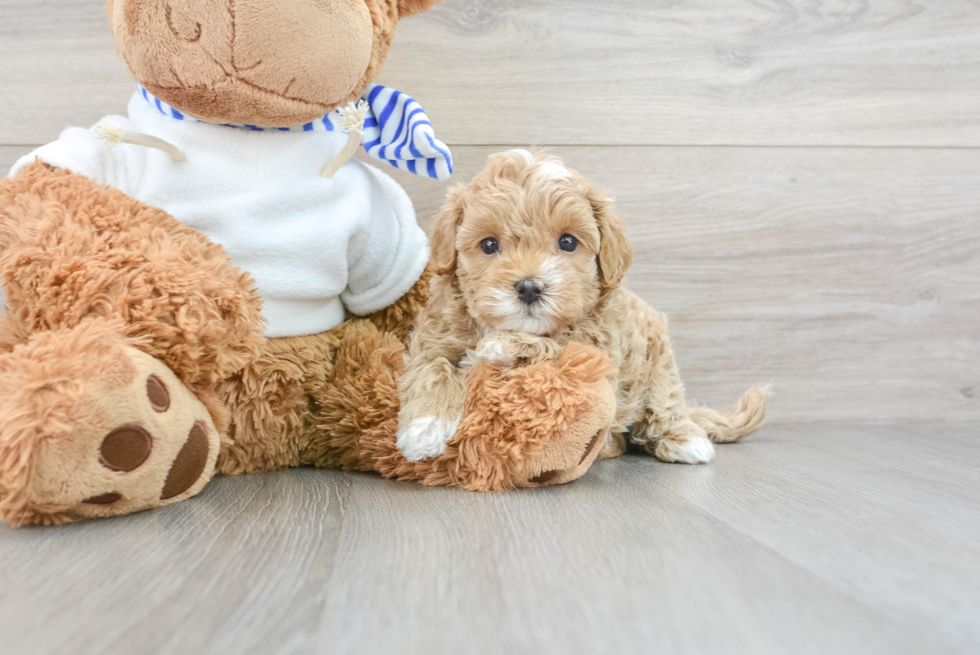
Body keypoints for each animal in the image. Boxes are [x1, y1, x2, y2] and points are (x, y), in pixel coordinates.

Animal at [394, 149, 768, 466]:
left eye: (568, 242)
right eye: (488, 245)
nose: (529, 287)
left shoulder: (598, 351)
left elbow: (554, 345)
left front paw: (500, 345)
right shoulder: (434, 337)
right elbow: (432, 367)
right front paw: (424, 428)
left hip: (658, 357)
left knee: (666, 401)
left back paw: (684, 439)